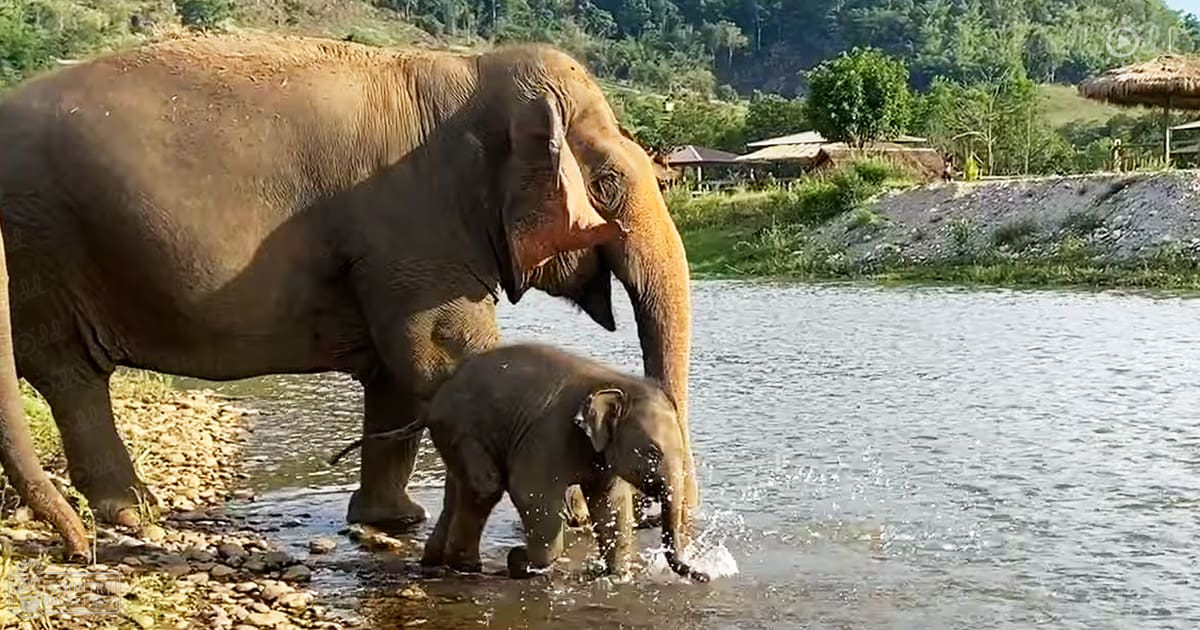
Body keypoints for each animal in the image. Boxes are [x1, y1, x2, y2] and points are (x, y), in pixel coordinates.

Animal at [0, 33, 695, 559]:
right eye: (608, 184)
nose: (662, 520)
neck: (472, 69)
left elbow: (398, 374)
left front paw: (393, 520)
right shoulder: (414, 230)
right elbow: (440, 352)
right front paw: (570, 505)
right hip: (43, 242)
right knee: (68, 372)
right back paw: (134, 514)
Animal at [330, 343, 708, 582]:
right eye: (653, 452)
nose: (703, 576)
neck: (613, 381)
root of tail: (434, 403)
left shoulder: (599, 452)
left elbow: (611, 502)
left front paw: (614, 575)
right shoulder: (548, 434)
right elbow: (532, 494)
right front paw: (523, 562)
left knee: (460, 489)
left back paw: (439, 562)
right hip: (463, 429)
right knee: (486, 486)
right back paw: (467, 567)